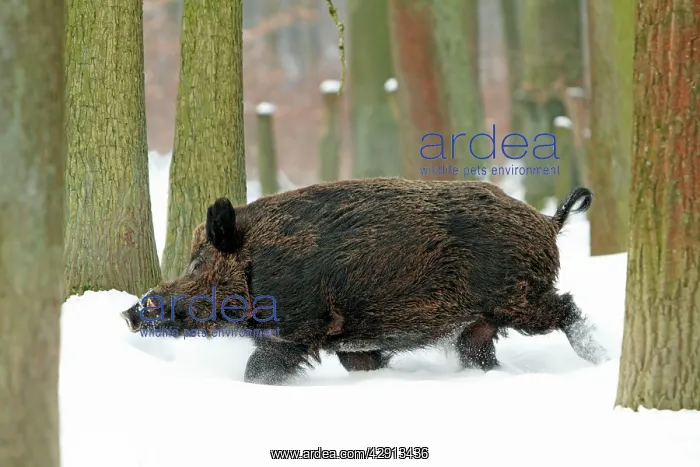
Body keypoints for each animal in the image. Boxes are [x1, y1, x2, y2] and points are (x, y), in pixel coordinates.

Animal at [121, 177, 610, 384]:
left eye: (197, 266)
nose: (130, 311)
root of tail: (548, 222)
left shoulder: (299, 329)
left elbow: (259, 368)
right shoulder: (353, 340)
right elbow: (362, 363)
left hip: (520, 299)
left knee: (567, 309)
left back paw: (601, 358)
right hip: (479, 324)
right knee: (479, 353)